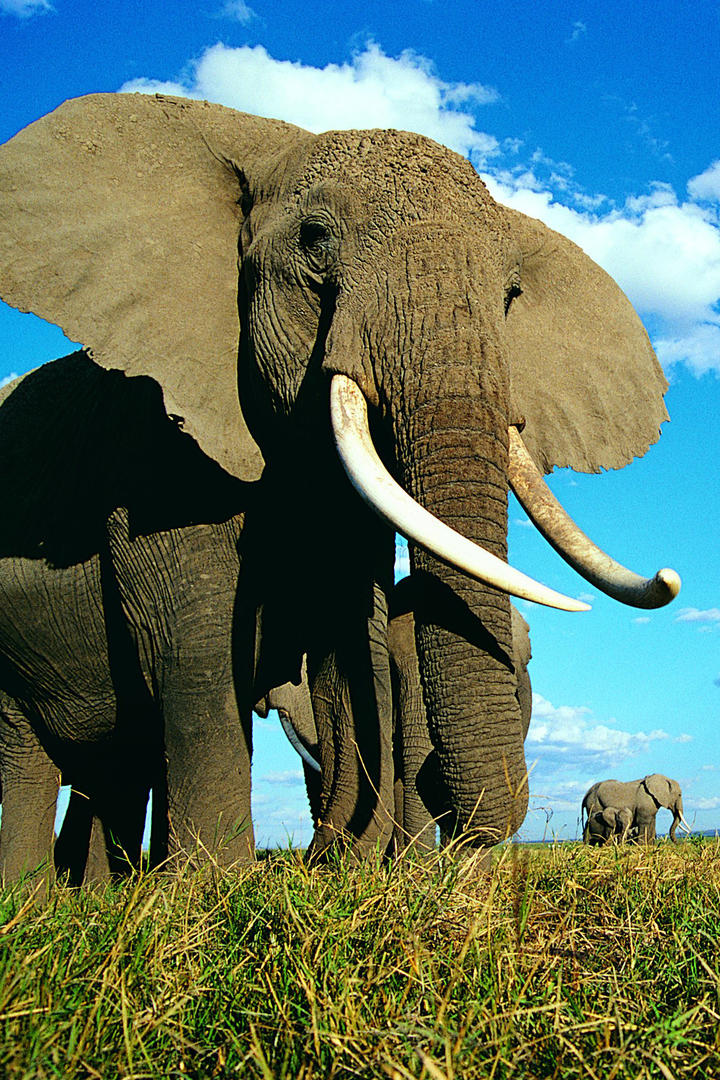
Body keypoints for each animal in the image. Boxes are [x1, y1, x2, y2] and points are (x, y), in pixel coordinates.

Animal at [0, 88, 682, 872]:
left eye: (512, 293)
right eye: (316, 240)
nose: (668, 573)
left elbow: (347, 625)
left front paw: (342, 870)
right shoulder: (153, 454)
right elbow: (197, 658)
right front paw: (217, 889)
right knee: (30, 754)